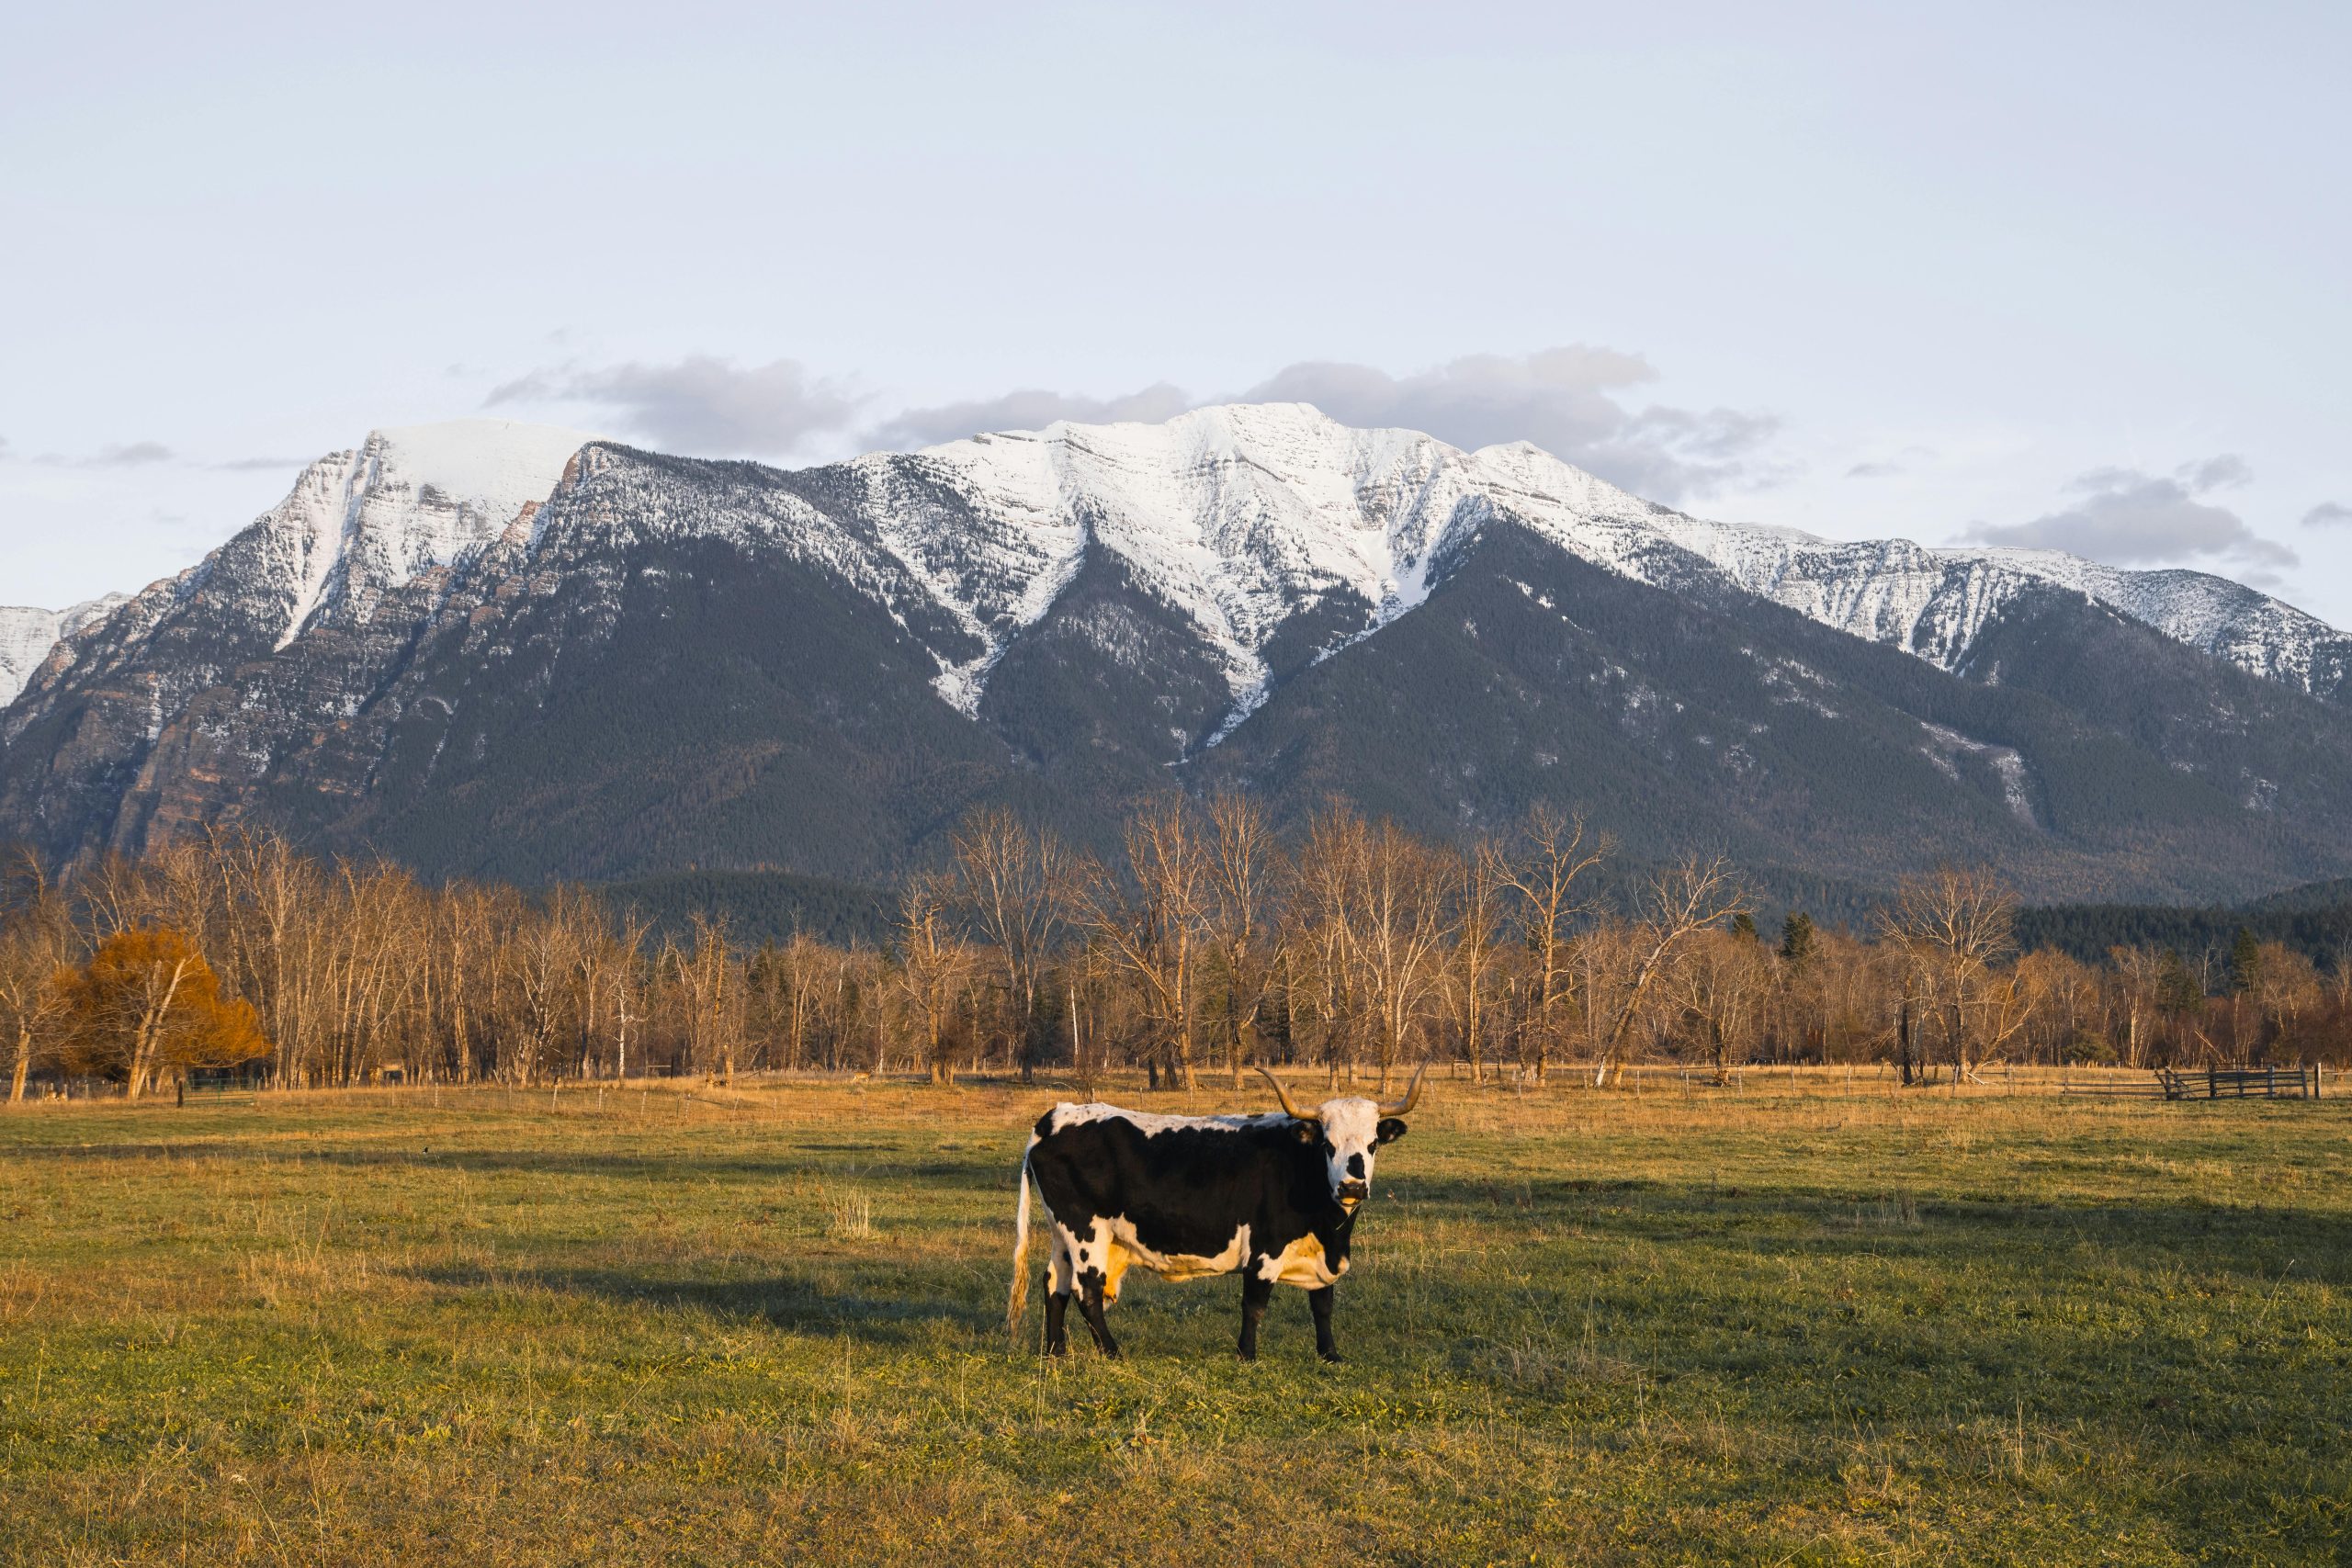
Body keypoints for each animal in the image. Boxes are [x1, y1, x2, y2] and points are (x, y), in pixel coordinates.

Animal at [1007, 1064, 1426, 1361]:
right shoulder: (1264, 1250)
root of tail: (1054, 1117)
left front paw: (1330, 1354)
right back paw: (1112, 1352)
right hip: (1086, 1231)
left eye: (1372, 1144)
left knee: (1054, 1285)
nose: (1352, 1187)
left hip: (1062, 1234)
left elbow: (1323, 1305)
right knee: (1088, 1291)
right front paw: (1247, 1355)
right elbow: (1254, 1304)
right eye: (1328, 1144)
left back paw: (1056, 1352)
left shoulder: (1322, 1254)